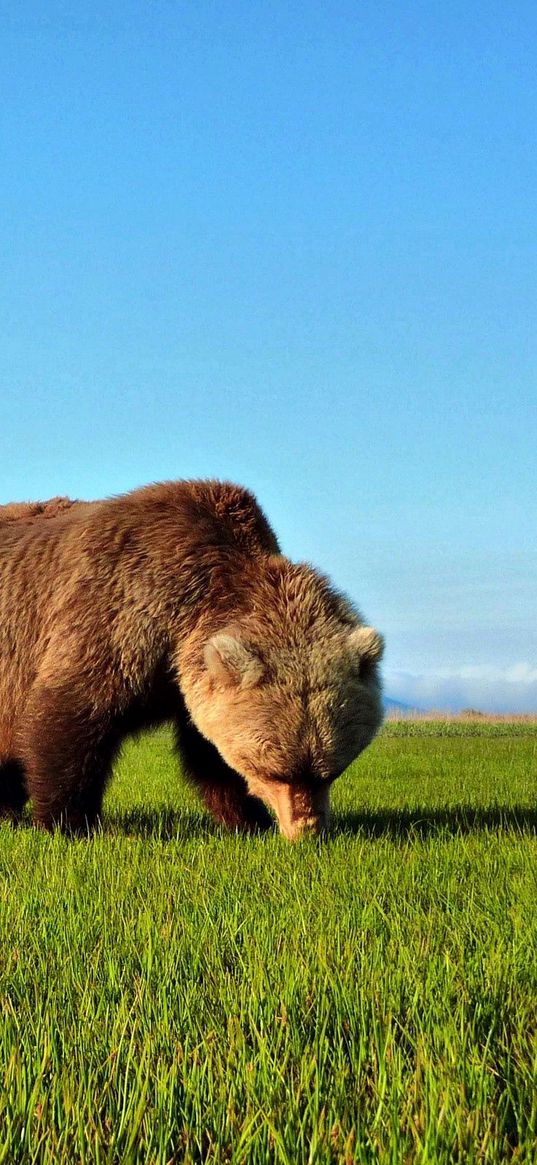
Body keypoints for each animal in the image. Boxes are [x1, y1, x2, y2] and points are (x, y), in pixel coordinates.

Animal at [0, 479, 382, 838]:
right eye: (274, 770)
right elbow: (71, 717)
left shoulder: (190, 679)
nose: (308, 830)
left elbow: (208, 753)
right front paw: (68, 823)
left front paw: (248, 820)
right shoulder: (117, 611)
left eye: (332, 770)